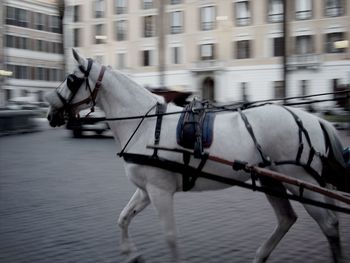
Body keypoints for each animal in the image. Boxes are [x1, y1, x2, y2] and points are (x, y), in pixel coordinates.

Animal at [45, 50, 348, 263]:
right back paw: (260, 255)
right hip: (272, 180)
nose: (50, 113)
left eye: (71, 79)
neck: (146, 125)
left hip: (300, 182)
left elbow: (170, 238)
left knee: (329, 224)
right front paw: (132, 254)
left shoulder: (160, 191)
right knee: (288, 219)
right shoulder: (146, 190)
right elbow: (123, 219)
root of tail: (313, 119)